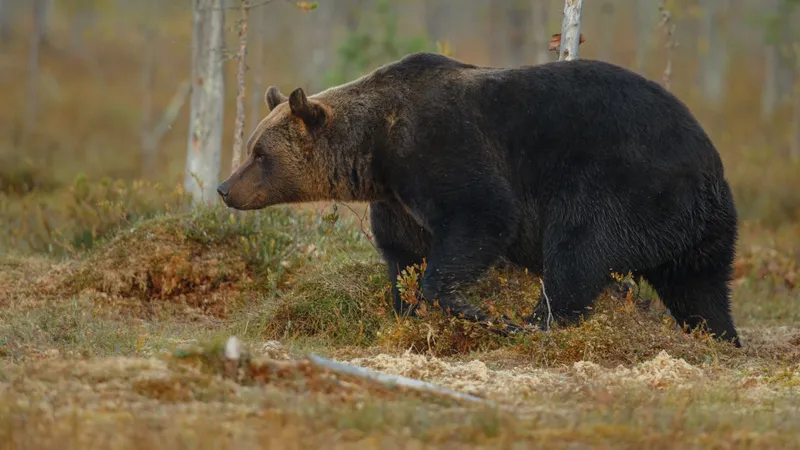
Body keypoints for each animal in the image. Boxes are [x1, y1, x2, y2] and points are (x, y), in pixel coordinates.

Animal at [216, 52, 742, 348]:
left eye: (260, 154)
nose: (224, 188)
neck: (375, 151)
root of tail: (708, 163)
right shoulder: (397, 201)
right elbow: (403, 257)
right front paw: (408, 312)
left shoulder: (442, 148)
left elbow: (482, 216)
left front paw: (473, 310)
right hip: (698, 227)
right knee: (701, 288)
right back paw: (720, 340)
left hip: (622, 183)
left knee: (578, 253)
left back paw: (534, 325)